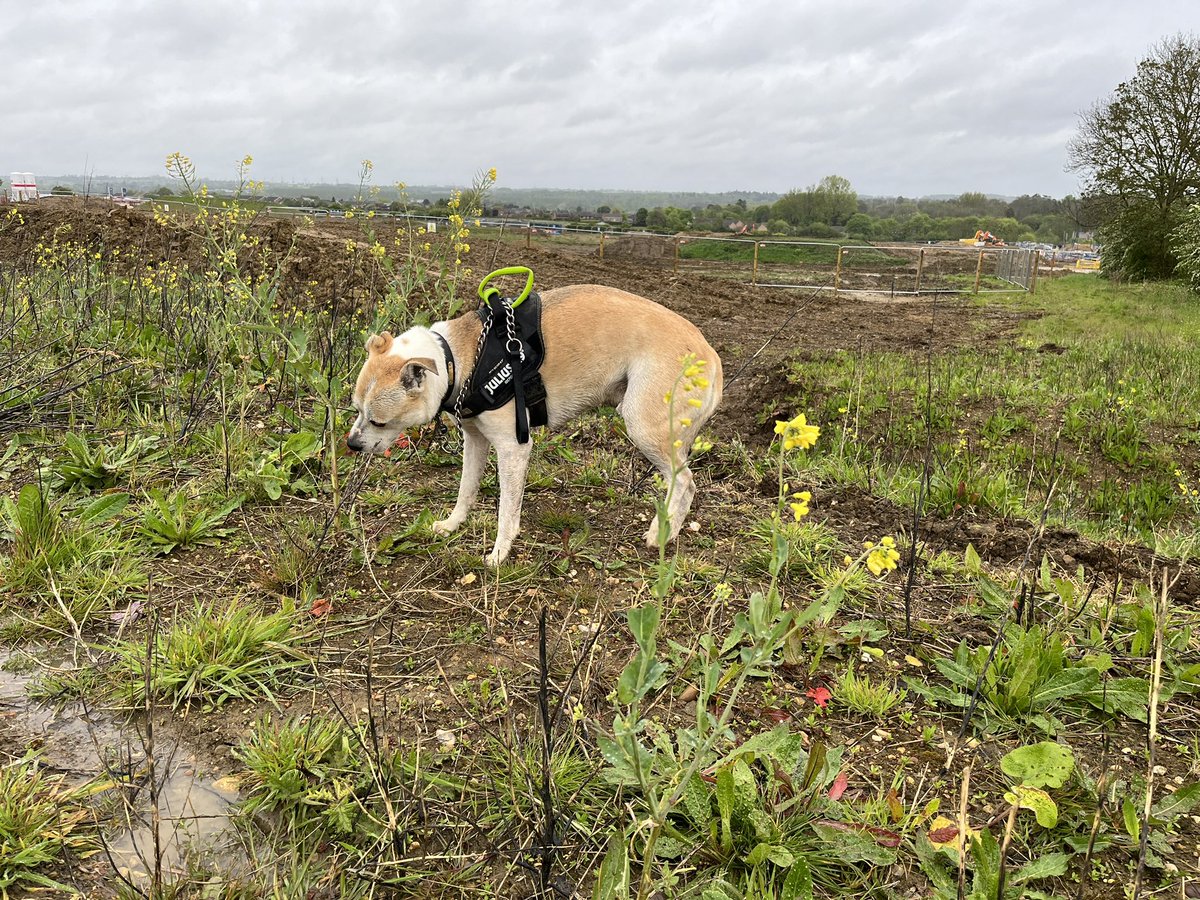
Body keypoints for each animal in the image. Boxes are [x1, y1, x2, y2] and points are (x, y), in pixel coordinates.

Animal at [348, 283, 720, 564]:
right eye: (356, 409)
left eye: (378, 421)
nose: (351, 444)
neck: (458, 357)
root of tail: (712, 355)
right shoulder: (475, 441)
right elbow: (466, 490)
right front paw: (453, 525)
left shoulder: (514, 449)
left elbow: (507, 512)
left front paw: (499, 553)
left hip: (644, 427)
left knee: (686, 482)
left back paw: (663, 533)